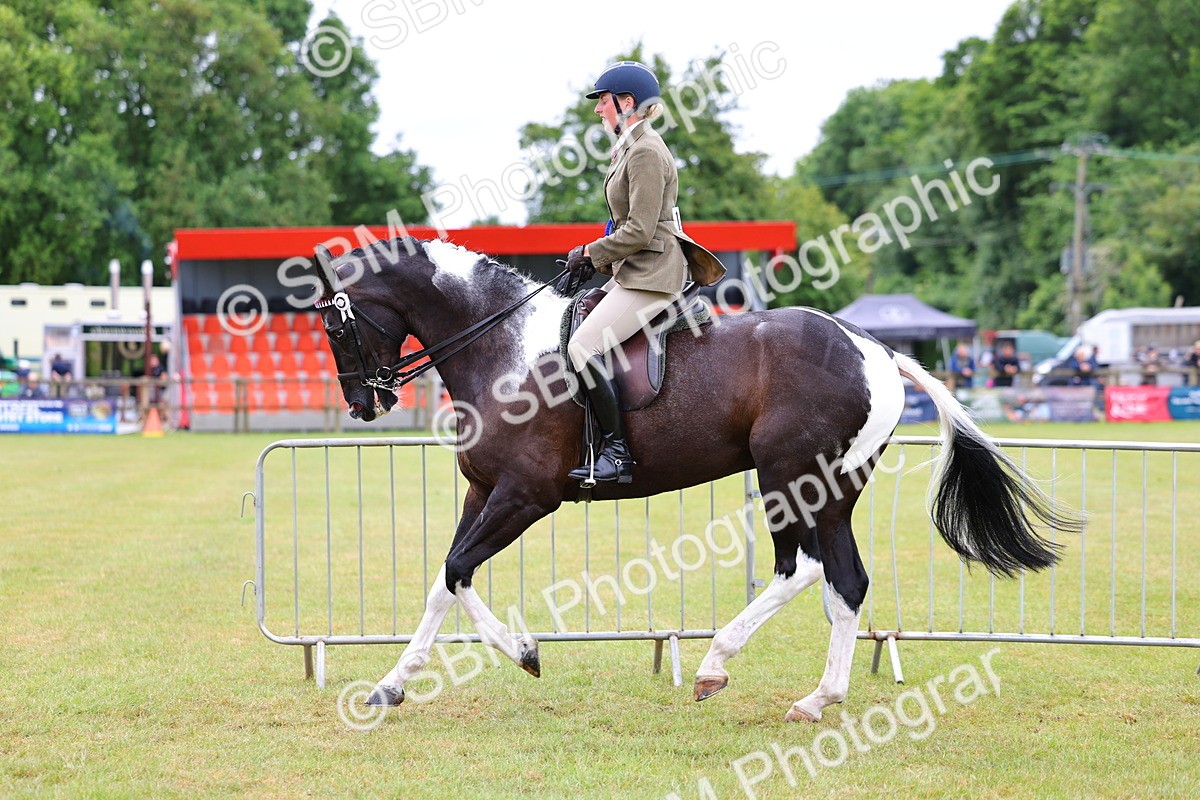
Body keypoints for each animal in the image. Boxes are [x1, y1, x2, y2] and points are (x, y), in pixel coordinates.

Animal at [310, 236, 1080, 722]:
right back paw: (795, 691)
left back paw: (737, 669)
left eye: (334, 328)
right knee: (833, 579)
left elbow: (458, 570)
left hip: (792, 476)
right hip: (822, 488)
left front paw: (524, 652)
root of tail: (876, 348)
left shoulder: (527, 496)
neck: (501, 346)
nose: (363, 404)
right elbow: (444, 582)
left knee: (812, 572)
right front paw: (390, 687)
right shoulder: (482, 490)